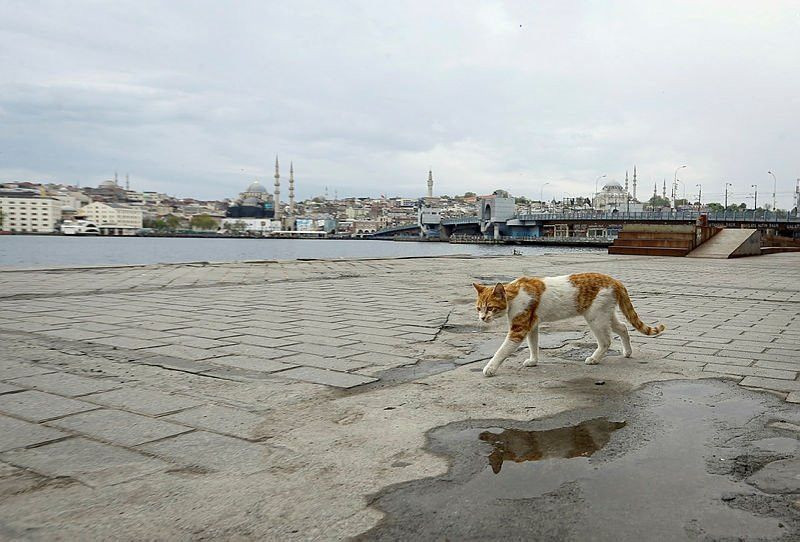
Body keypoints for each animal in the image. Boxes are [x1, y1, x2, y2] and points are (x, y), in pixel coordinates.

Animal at [472, 272, 664, 378]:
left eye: (490, 308)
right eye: (478, 308)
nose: (482, 318)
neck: (514, 295)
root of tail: (615, 281)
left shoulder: (519, 329)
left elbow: (501, 351)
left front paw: (490, 368)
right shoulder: (531, 325)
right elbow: (533, 344)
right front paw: (534, 360)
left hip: (595, 318)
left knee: (606, 341)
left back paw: (594, 358)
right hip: (606, 315)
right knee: (623, 327)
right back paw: (627, 352)